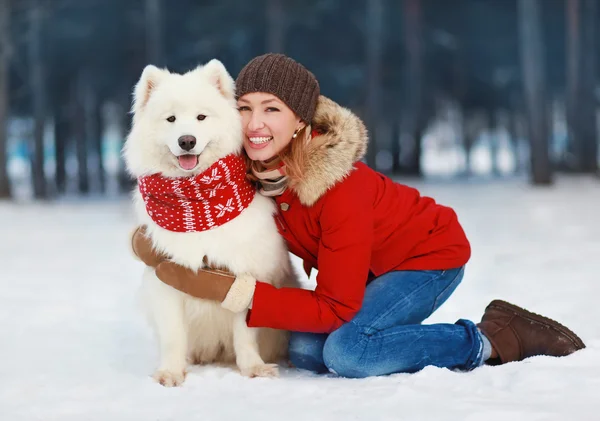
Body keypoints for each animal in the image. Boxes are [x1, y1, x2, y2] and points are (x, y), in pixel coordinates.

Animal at [123, 60, 298, 386]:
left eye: (201, 117)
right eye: (171, 119)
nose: (187, 140)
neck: (199, 206)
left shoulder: (245, 275)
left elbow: (245, 334)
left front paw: (254, 368)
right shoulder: (166, 279)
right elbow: (173, 337)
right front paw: (171, 372)